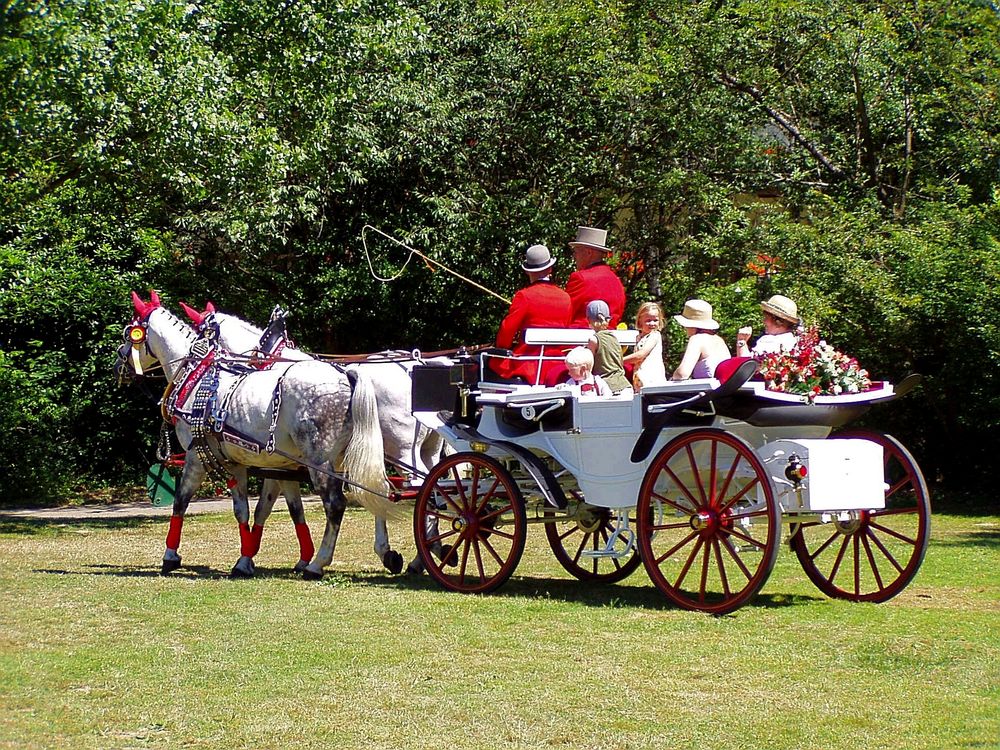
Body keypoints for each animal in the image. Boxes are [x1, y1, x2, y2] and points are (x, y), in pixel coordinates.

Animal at [115, 294, 392, 580]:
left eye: (128, 333)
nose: (118, 362)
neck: (199, 381)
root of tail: (345, 375)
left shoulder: (196, 457)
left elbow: (181, 502)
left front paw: (170, 557)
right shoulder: (254, 464)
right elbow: (259, 511)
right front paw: (246, 559)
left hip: (320, 461)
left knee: (336, 504)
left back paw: (318, 564)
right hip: (351, 455)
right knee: (377, 488)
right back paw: (386, 554)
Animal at [180, 300, 446, 576]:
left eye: (199, 334)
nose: (191, 363)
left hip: (401, 451)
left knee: (419, 489)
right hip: (424, 450)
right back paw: (427, 552)